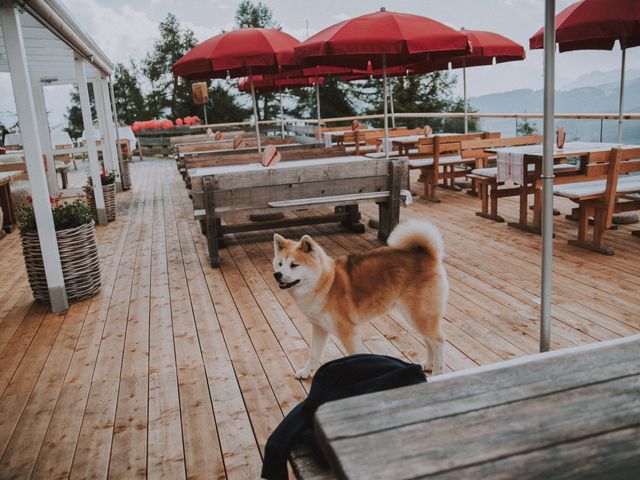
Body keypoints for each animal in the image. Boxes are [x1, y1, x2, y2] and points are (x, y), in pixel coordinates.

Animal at [272, 219, 448, 380]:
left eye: (294, 265)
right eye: (280, 264)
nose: (277, 275)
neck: (325, 284)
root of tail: (426, 254)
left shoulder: (348, 331)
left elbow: (356, 356)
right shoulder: (319, 328)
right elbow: (314, 353)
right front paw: (306, 372)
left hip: (419, 315)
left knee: (438, 341)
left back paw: (438, 373)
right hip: (416, 317)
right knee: (429, 341)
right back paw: (429, 365)